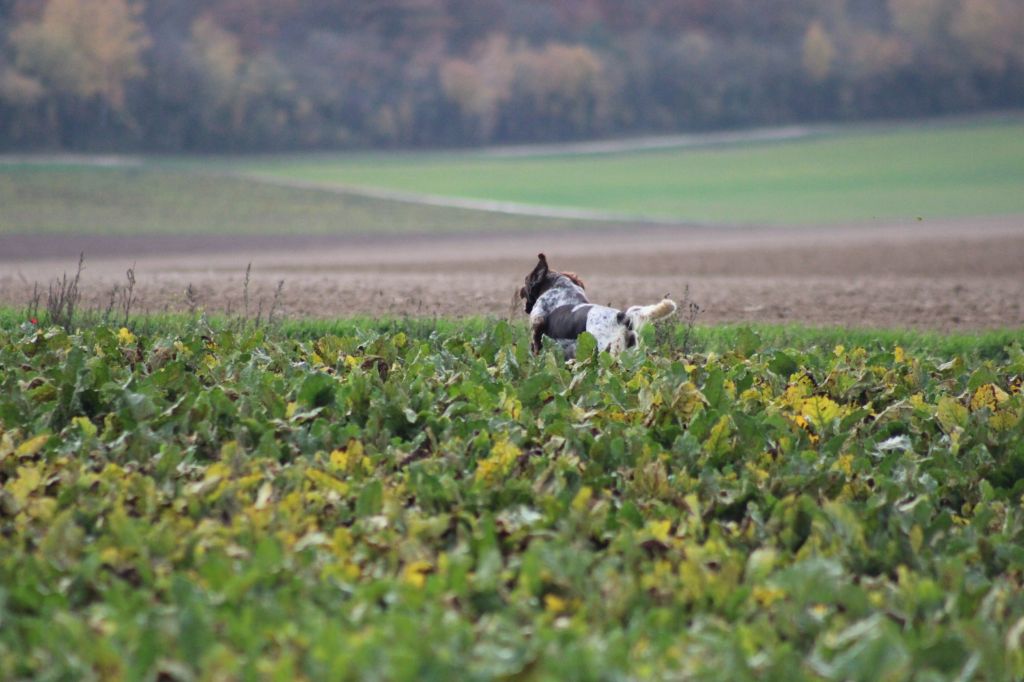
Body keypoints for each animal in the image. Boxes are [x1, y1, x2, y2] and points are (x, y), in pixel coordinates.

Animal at [520, 251, 679, 358]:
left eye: (526, 281)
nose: (521, 291)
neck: (560, 287)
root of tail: (623, 317)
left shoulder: (536, 328)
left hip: (609, 352)